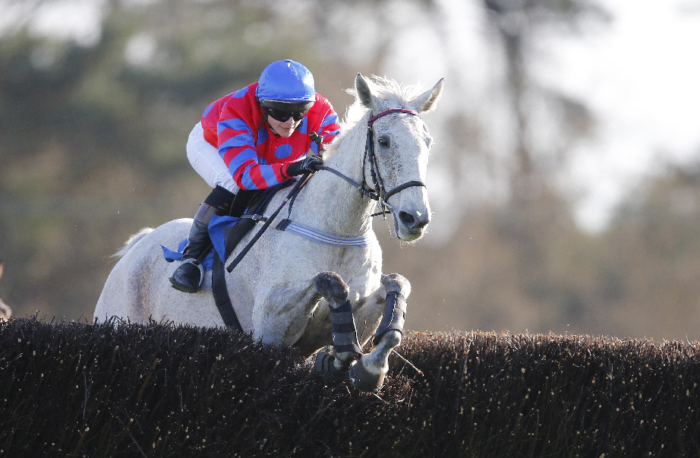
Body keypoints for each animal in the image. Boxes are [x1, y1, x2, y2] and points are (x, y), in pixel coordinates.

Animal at [94, 73, 442, 392]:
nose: (415, 218)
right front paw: (340, 356)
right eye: (384, 141)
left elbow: (397, 286)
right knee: (228, 186)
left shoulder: (359, 309)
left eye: (428, 143)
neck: (337, 229)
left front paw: (368, 367)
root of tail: (138, 247)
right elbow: (330, 281)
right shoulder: (271, 324)